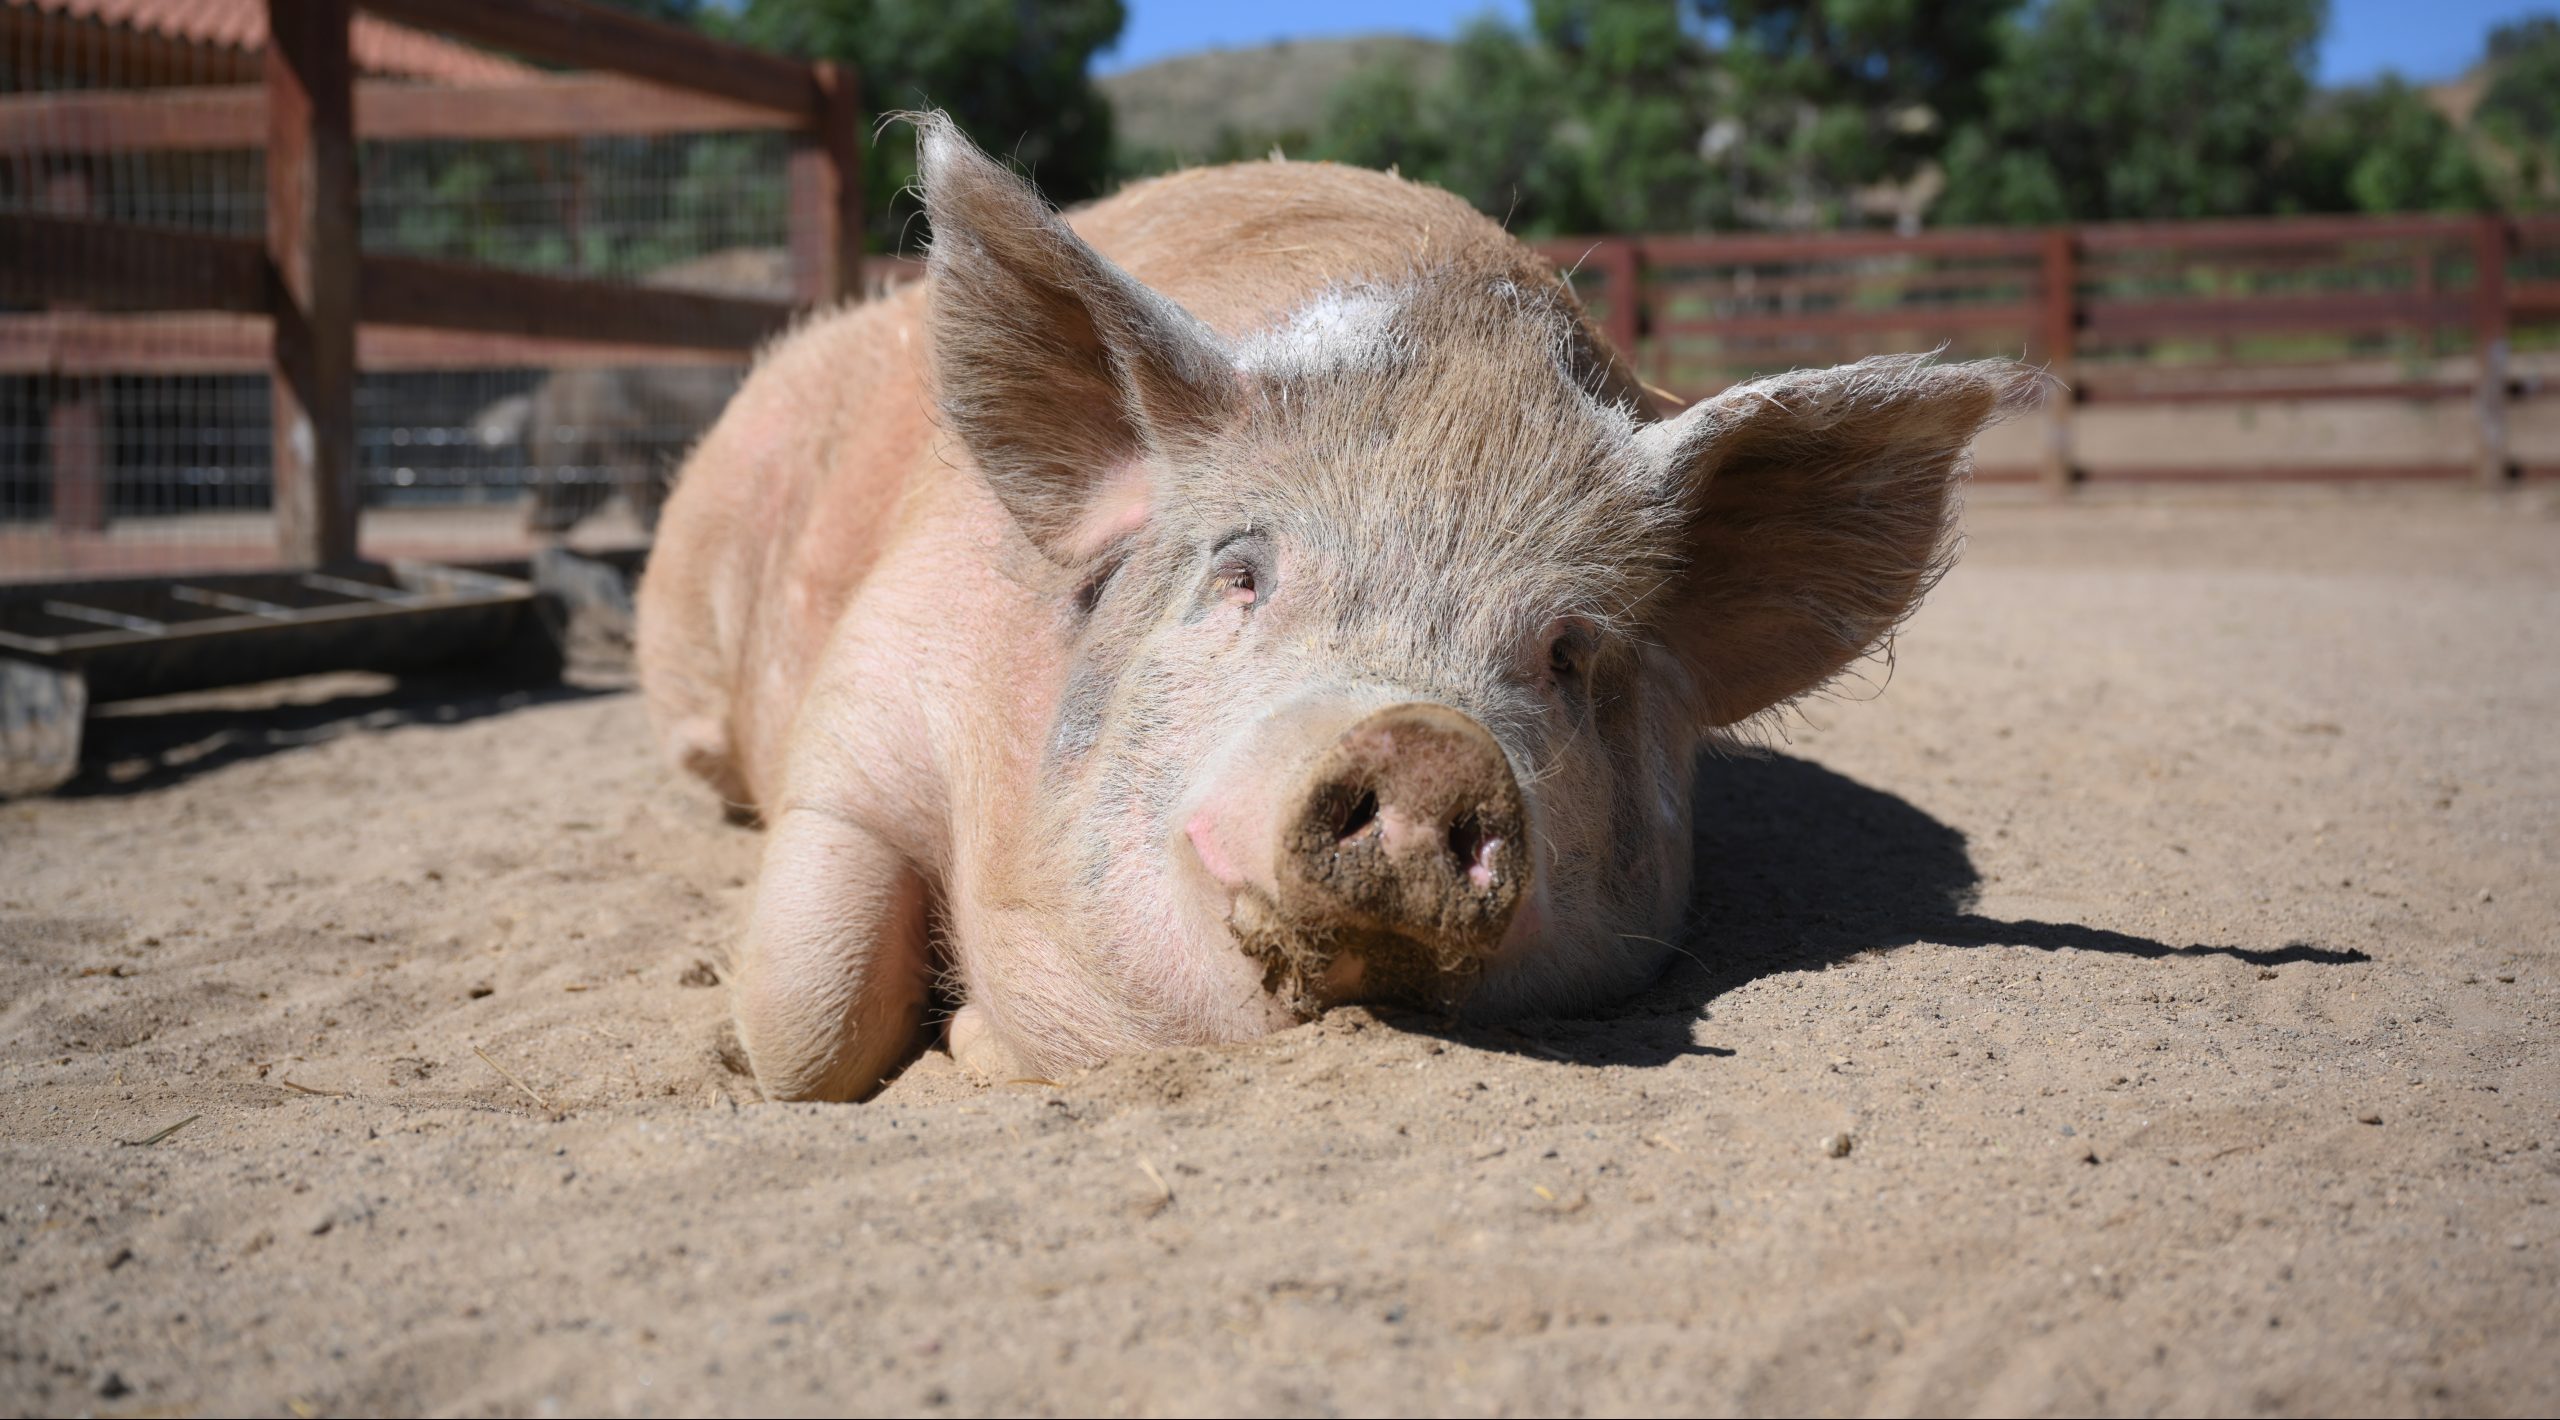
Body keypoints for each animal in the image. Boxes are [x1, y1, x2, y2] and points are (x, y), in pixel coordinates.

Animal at [634, 116, 2037, 1105]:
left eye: (1569, 653)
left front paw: (977, 1038)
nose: (1425, 739)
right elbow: (808, 1019)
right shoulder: (874, 692)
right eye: (1242, 572)